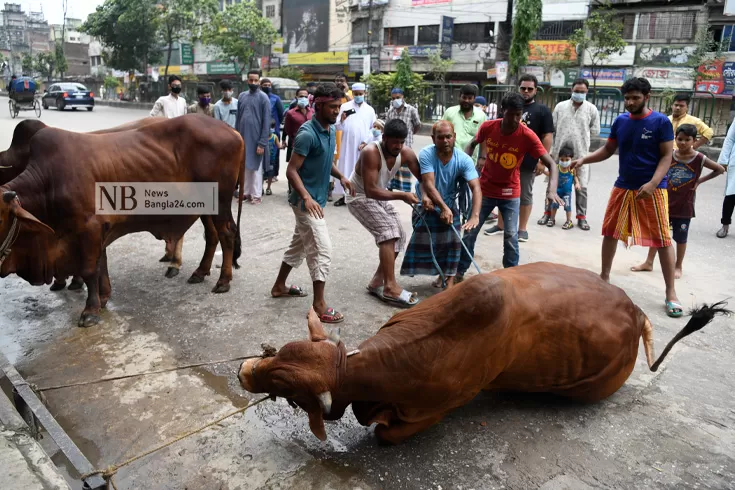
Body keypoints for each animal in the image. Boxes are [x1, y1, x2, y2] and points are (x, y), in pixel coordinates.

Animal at [237, 264, 732, 444]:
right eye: (278, 352)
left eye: (284, 389)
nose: (244, 371)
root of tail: (635, 311)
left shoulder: (429, 411)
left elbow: (384, 434)